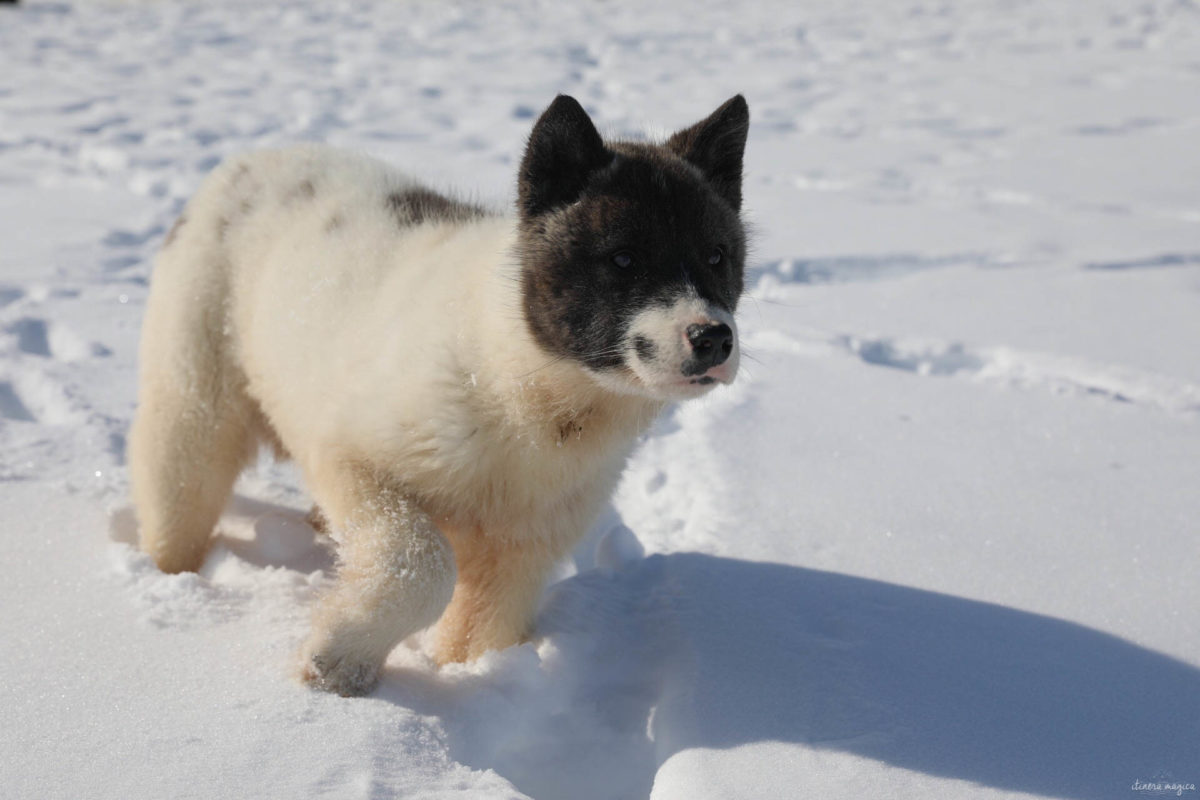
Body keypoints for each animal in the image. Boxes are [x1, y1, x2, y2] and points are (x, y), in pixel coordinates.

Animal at [131, 92, 748, 695]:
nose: (713, 338)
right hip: (194, 398)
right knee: (177, 490)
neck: (524, 391)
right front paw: (339, 658)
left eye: (717, 256)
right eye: (623, 259)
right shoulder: (351, 458)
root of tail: (251, 161)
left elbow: (481, 633)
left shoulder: (522, 553)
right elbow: (425, 564)